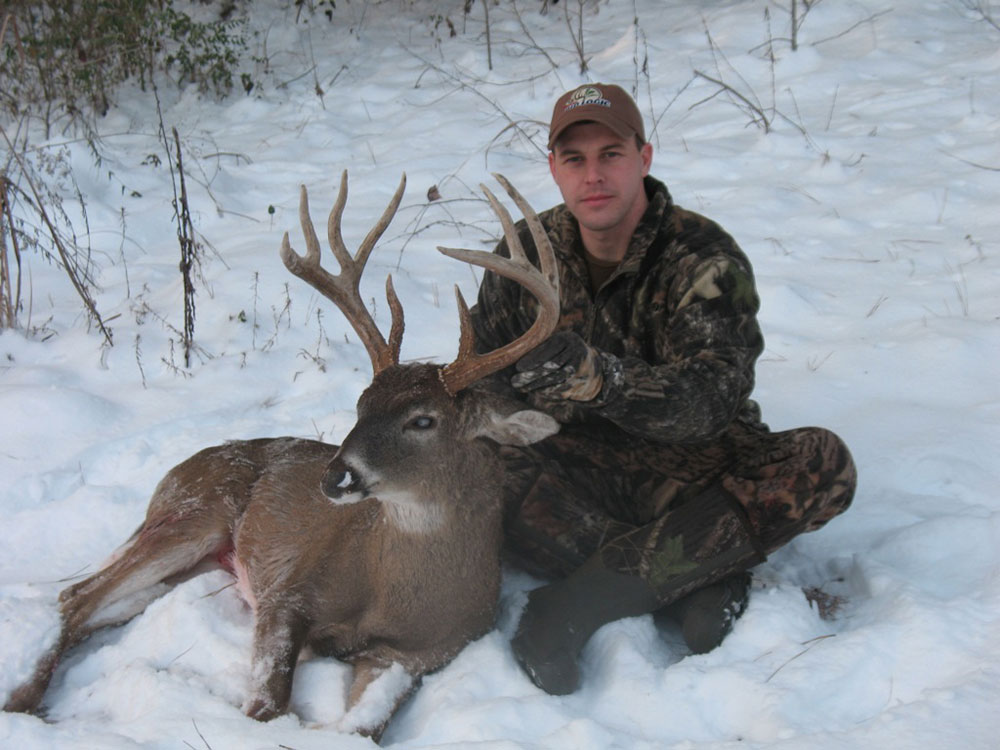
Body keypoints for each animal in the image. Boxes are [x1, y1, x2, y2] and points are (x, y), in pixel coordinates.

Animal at [1, 172, 564, 740]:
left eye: (423, 420)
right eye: (361, 404)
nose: (335, 477)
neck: (395, 592)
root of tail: (175, 474)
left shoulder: (422, 653)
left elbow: (363, 728)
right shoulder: (289, 593)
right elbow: (269, 705)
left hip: (193, 561)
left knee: (110, 602)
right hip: (194, 514)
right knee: (75, 596)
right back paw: (23, 699)